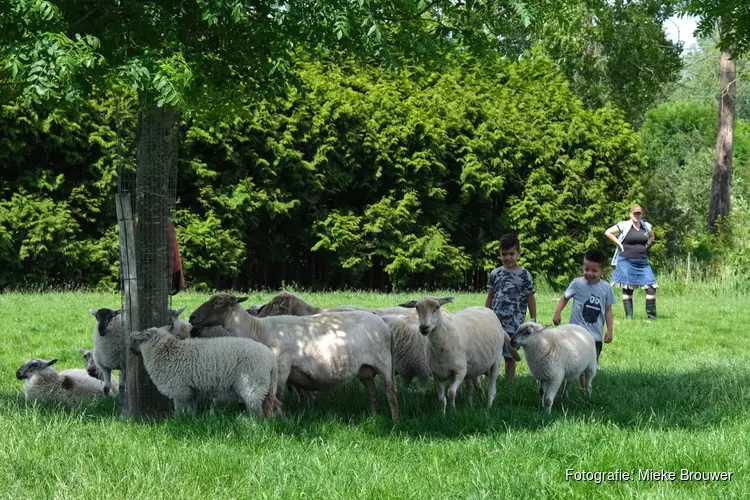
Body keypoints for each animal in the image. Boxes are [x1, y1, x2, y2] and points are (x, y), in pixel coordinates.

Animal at [129, 326, 280, 416]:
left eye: (138, 340)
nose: (130, 350)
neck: (167, 351)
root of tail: (271, 359)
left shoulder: (179, 390)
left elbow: (180, 410)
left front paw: (177, 421)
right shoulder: (190, 391)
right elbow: (191, 409)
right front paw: (191, 420)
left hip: (252, 383)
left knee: (256, 409)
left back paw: (253, 426)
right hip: (266, 387)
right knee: (269, 406)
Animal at [189, 292, 400, 422]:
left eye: (217, 303)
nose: (192, 318)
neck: (257, 330)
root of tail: (384, 325)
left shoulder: (281, 369)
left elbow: (276, 397)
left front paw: (274, 422)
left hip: (384, 364)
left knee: (391, 393)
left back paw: (395, 421)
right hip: (365, 370)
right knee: (372, 393)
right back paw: (373, 417)